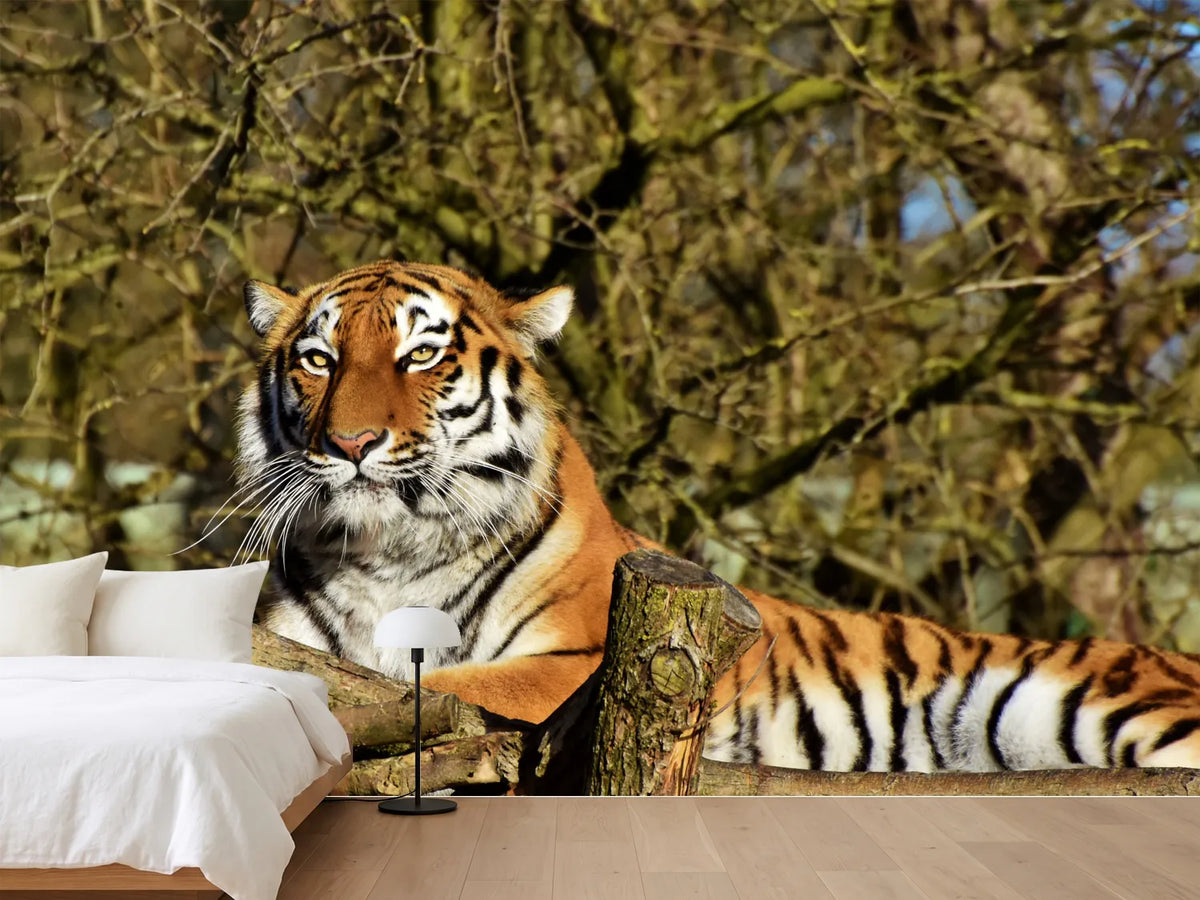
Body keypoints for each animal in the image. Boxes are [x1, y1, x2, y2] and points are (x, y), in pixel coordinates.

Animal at [236, 259, 1200, 772]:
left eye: (421, 356)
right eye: (319, 359)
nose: (352, 441)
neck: (385, 552)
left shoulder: (569, 662)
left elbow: (429, 686)